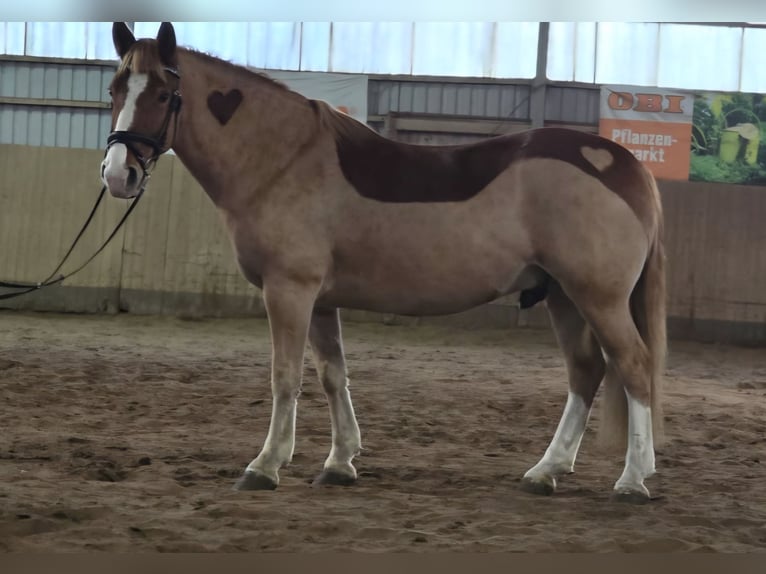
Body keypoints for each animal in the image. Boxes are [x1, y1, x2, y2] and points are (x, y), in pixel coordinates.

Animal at [101, 22, 667, 504]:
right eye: (114, 90)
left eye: (162, 94)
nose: (117, 174)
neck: (282, 159)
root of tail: (622, 163)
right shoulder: (319, 300)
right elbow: (333, 374)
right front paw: (340, 462)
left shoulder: (288, 290)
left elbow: (285, 376)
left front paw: (265, 466)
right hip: (564, 297)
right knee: (587, 371)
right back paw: (546, 471)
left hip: (598, 298)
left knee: (634, 368)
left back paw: (633, 479)